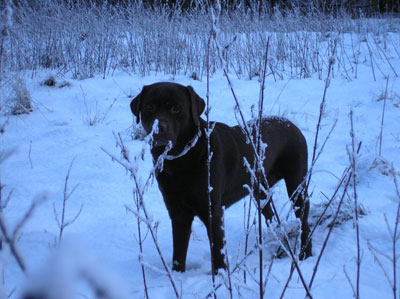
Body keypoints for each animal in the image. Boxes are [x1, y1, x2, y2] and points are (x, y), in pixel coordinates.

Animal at [131, 82, 312, 274]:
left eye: (176, 108)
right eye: (150, 107)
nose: (159, 128)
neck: (180, 161)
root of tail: (292, 126)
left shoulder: (212, 212)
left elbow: (218, 252)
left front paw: (220, 276)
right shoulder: (177, 211)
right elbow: (178, 253)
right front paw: (177, 275)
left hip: (296, 185)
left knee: (304, 222)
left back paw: (305, 255)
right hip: (260, 191)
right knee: (269, 213)